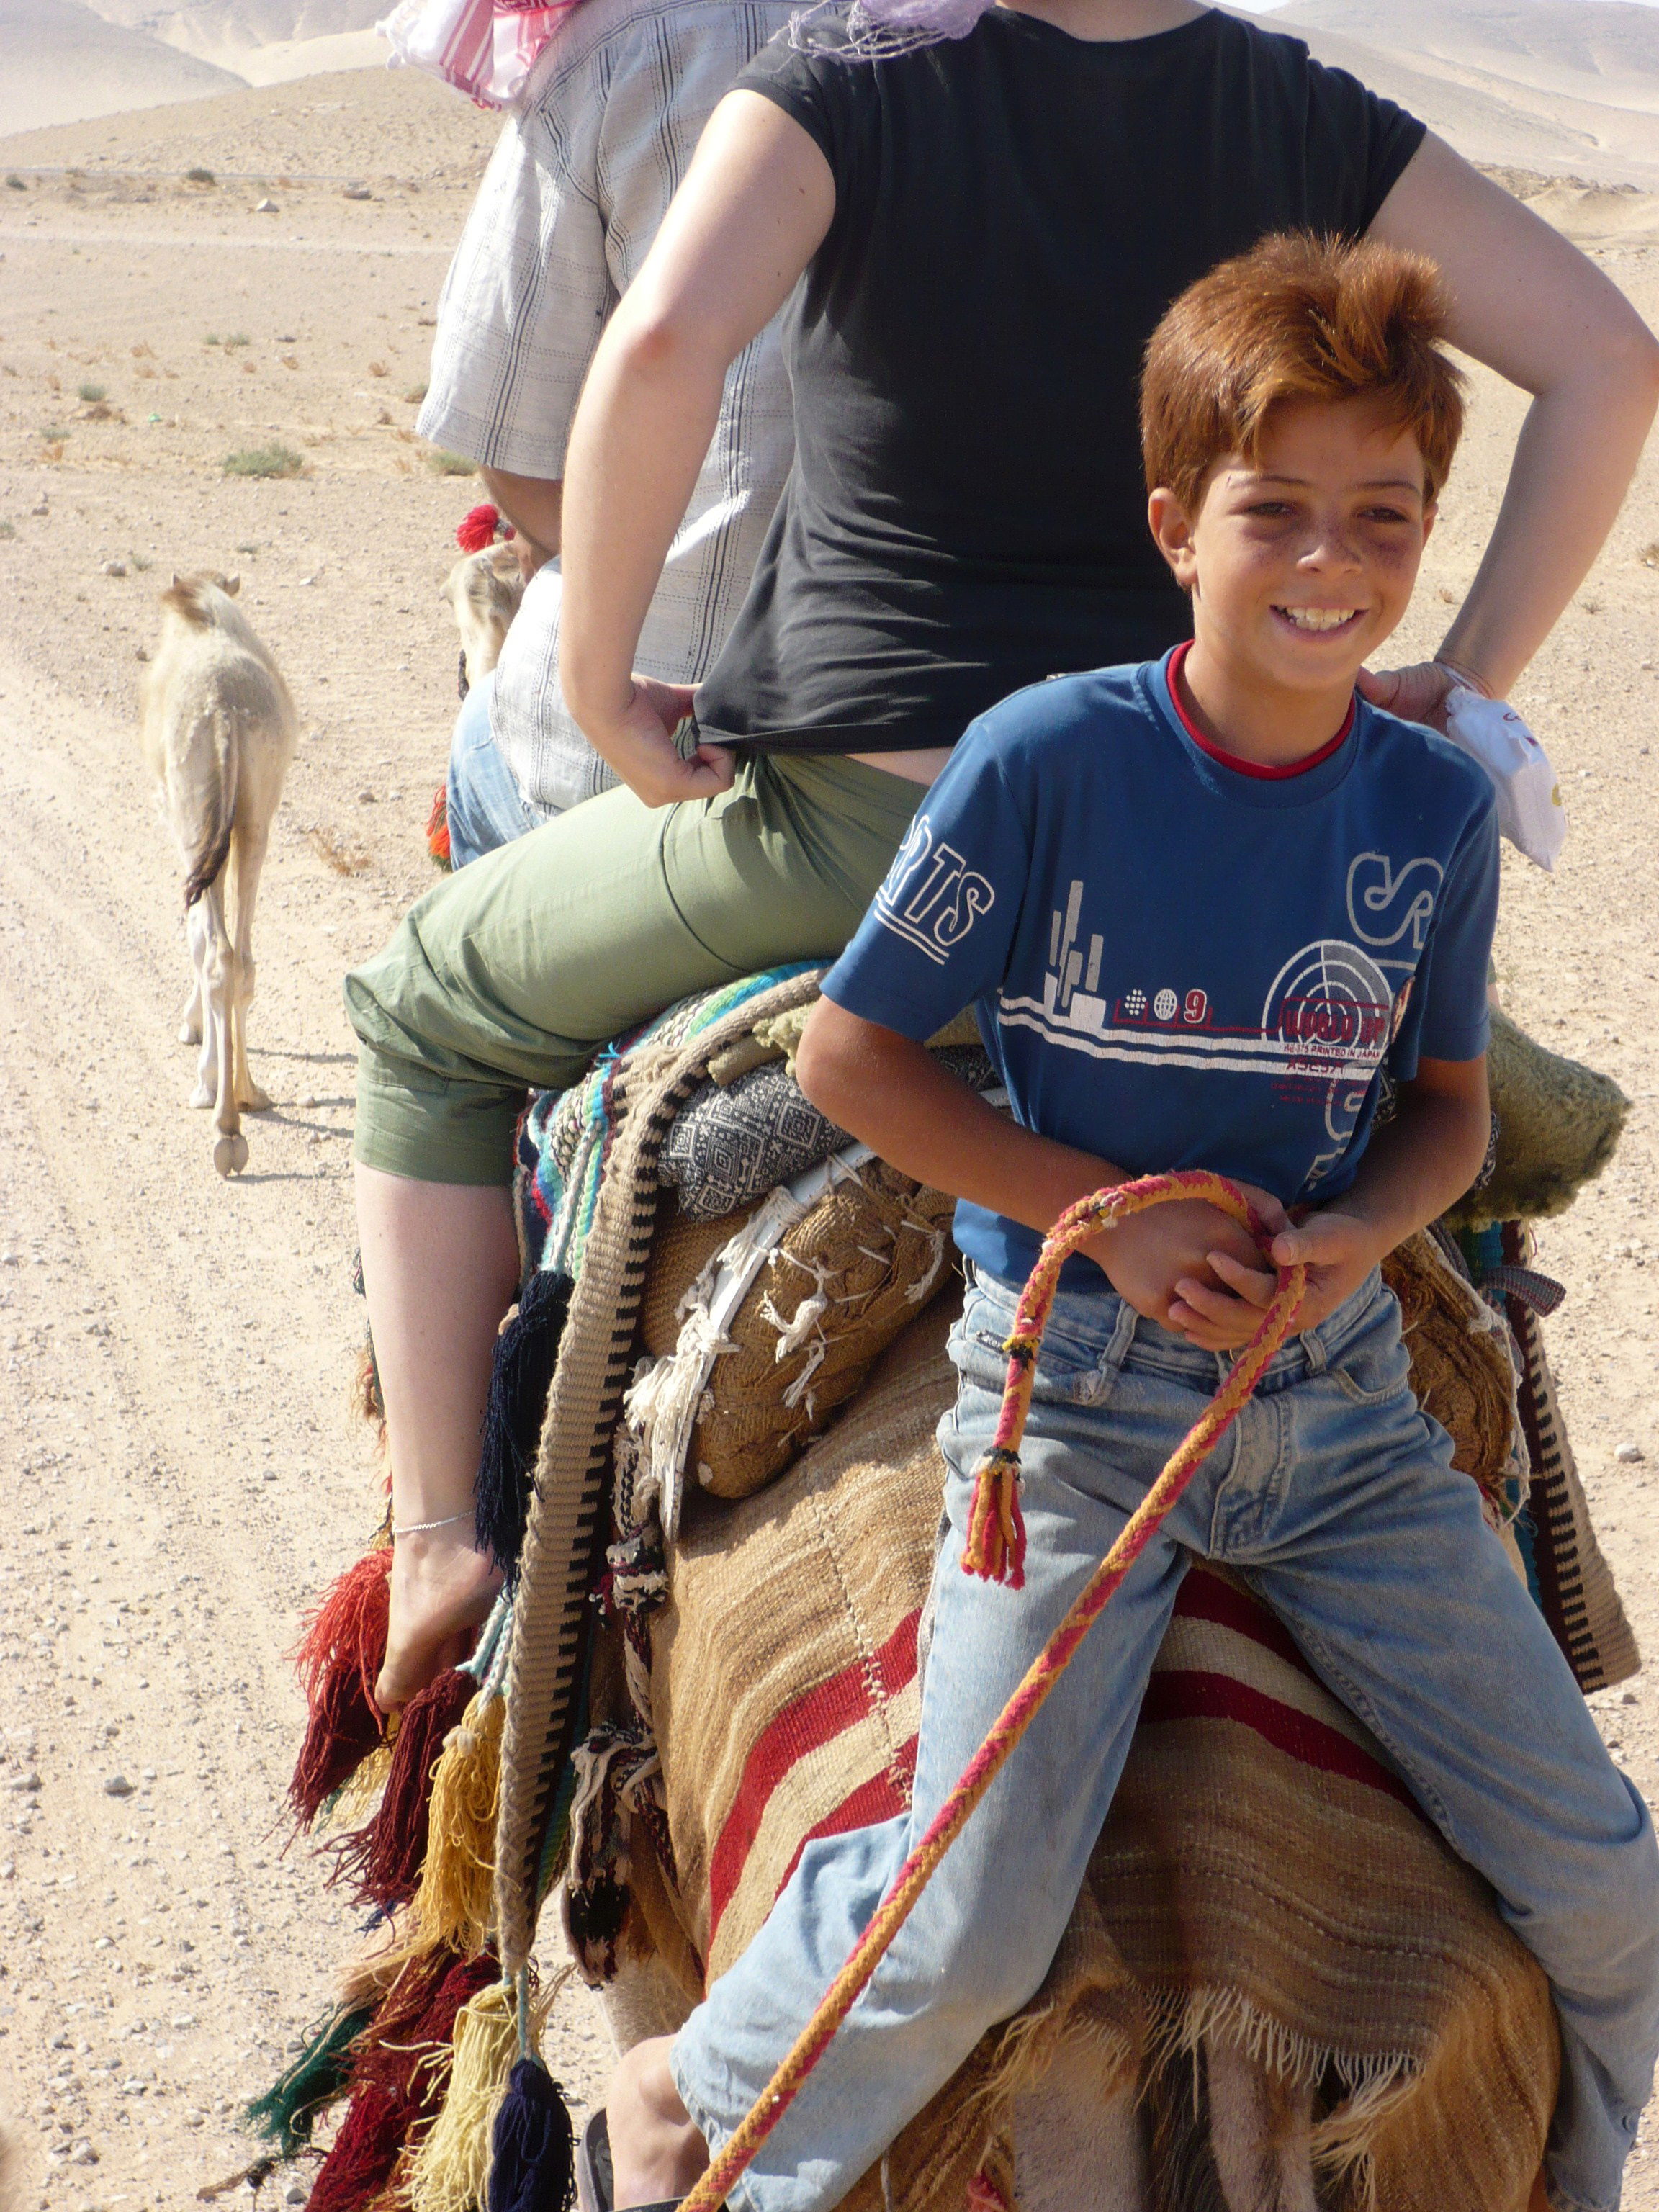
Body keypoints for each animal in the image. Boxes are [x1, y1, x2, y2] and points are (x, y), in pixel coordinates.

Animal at [140, 579, 298, 1185]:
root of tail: (226, 713)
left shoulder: (180, 823)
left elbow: (194, 937)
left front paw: (196, 1042)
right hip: (255, 819)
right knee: (242, 960)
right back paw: (247, 1098)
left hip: (193, 817)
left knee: (217, 953)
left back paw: (222, 1119)